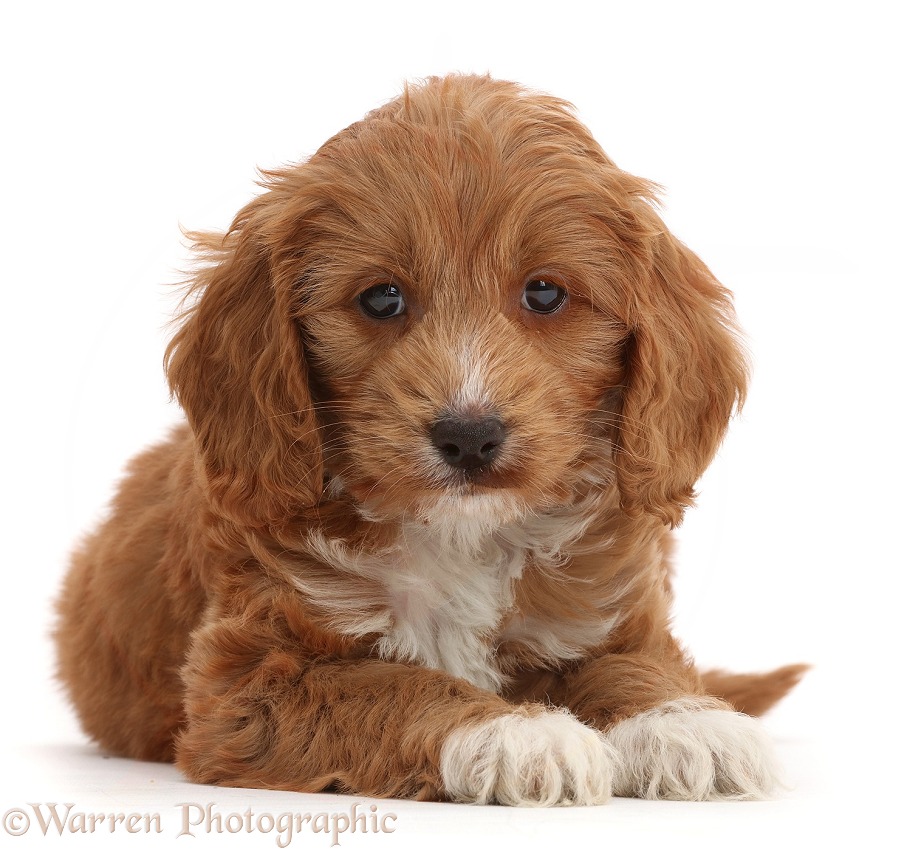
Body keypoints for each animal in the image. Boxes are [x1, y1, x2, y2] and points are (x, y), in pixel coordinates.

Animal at [57, 73, 804, 804]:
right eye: (381, 298)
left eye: (545, 294)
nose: (469, 435)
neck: (460, 532)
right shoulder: (249, 682)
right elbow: (393, 687)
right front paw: (514, 732)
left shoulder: (608, 611)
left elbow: (632, 664)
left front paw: (685, 720)